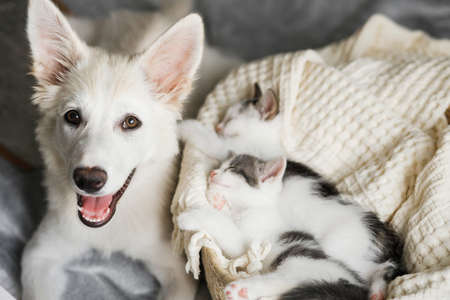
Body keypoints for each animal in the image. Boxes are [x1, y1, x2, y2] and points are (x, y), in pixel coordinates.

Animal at [178, 155, 402, 300]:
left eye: (232, 169)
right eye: (220, 166)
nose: (213, 172)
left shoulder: (245, 240)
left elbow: (222, 225)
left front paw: (190, 216)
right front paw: (217, 200)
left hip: (327, 251)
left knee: (288, 279)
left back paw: (241, 289)